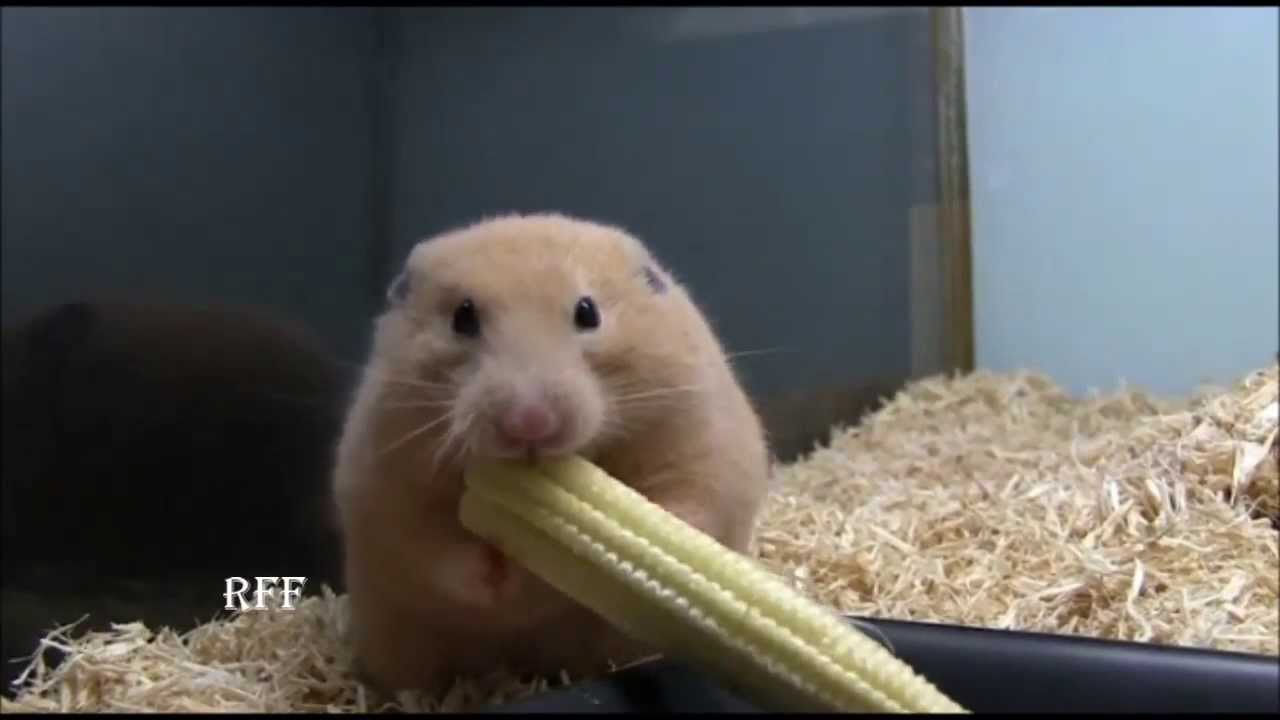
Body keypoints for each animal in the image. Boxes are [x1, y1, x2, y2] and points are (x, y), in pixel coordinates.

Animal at [331, 213, 773, 694]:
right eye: (462, 317)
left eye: (587, 312)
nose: (529, 424)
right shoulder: (388, 484)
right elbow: (441, 552)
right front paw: (510, 578)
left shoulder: (699, 445)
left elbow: (683, 509)